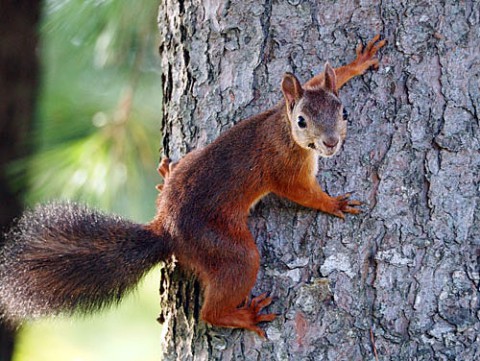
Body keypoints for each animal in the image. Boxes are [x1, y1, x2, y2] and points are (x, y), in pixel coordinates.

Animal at [0, 35, 384, 336]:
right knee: (213, 308)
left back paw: (167, 174)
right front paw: (334, 203)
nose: (331, 143)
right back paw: (243, 316)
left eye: (343, 111)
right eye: (302, 121)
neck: (282, 128)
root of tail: (165, 229)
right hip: (224, 247)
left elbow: (319, 77)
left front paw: (357, 63)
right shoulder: (284, 169)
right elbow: (302, 193)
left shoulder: (280, 105)